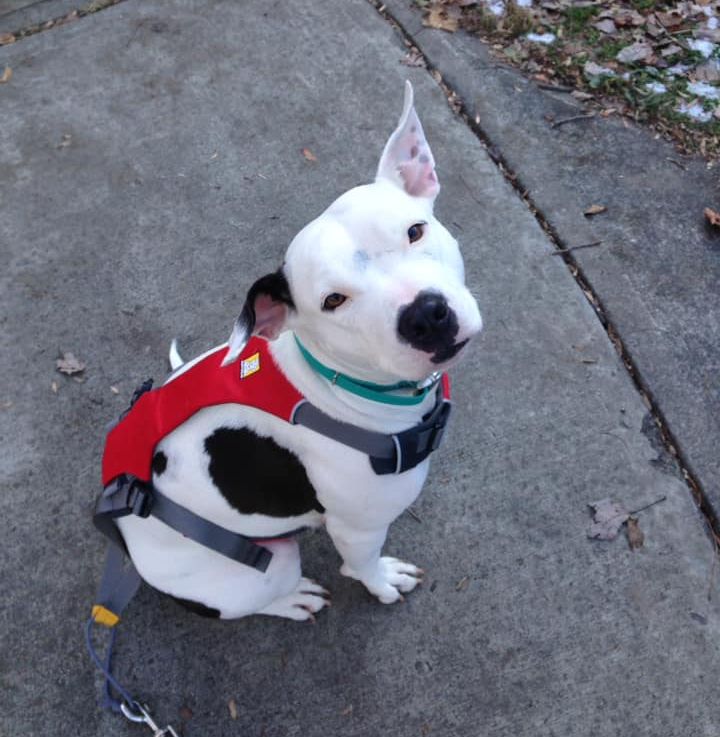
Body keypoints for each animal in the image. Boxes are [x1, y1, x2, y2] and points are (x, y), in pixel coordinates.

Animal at [105, 82, 478, 620]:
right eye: (333, 301)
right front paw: (381, 582)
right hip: (265, 565)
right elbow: (362, 566)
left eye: (415, 231)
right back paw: (295, 599)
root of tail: (126, 543)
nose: (426, 316)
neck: (335, 388)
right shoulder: (358, 529)